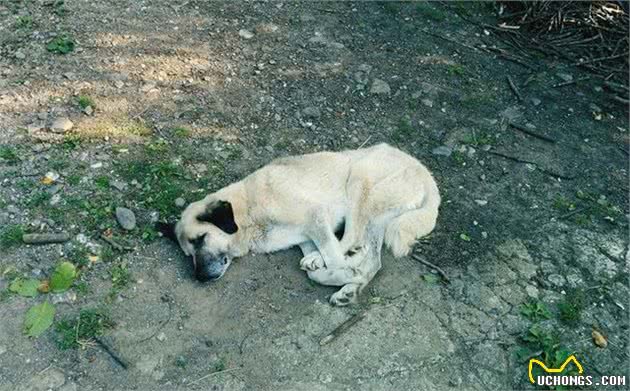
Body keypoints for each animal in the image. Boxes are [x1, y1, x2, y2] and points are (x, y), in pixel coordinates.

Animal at [159, 143, 440, 306]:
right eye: (188, 254)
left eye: (200, 239)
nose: (200, 278)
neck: (248, 211)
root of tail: (424, 171)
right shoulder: (304, 238)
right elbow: (321, 262)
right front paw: (341, 274)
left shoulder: (315, 217)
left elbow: (333, 256)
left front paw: (344, 271)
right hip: (376, 216)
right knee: (371, 257)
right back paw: (348, 284)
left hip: (359, 181)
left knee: (354, 238)